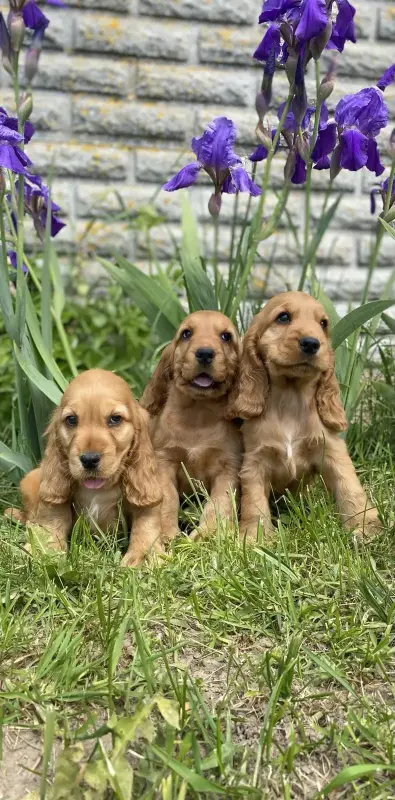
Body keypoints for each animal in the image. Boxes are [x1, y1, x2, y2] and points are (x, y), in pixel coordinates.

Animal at [4, 368, 162, 564]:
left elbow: (145, 524)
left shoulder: (146, 501)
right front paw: (43, 550)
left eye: (115, 419)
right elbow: (53, 518)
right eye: (71, 419)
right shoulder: (55, 498)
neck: (99, 490)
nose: (89, 459)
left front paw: (142, 556)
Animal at [141, 310, 243, 540]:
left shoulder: (228, 467)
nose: (204, 353)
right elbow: (168, 498)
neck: (199, 414)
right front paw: (168, 533)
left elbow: (218, 504)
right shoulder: (164, 461)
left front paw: (205, 535)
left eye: (226, 336)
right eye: (186, 333)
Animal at [230, 290, 382, 540]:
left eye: (323, 323)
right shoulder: (254, 460)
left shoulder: (331, 449)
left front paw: (364, 526)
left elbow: (349, 486)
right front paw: (254, 535)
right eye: (283, 317)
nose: (312, 343)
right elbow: (254, 500)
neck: (291, 398)